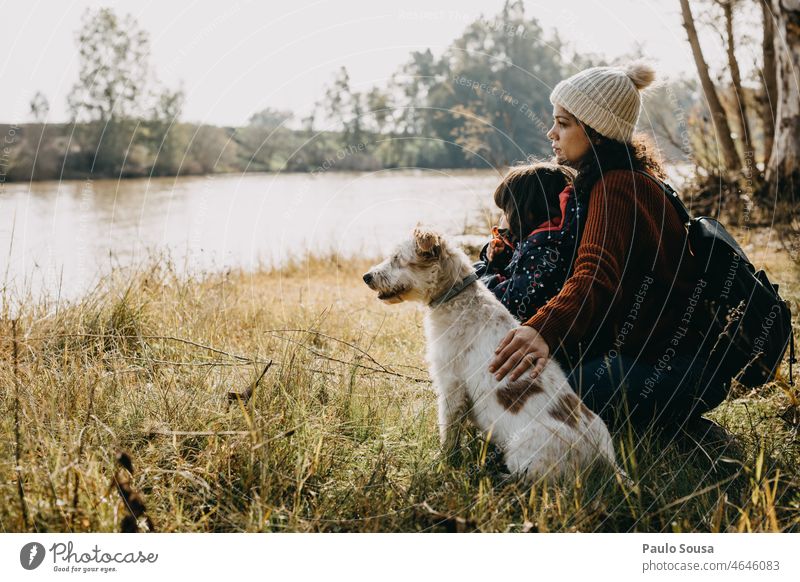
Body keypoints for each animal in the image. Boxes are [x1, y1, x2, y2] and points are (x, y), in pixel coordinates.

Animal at [362, 228, 620, 484]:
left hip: (525, 456)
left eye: (397, 259)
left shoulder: (451, 387)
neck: (456, 297)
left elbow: (448, 433)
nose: (366, 277)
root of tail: (605, 458)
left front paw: (442, 463)